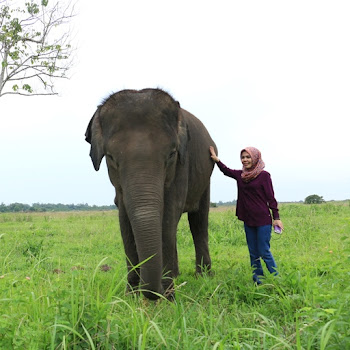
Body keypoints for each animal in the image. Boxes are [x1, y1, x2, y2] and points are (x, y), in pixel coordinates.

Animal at [85, 88, 216, 300]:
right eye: (111, 157)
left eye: (171, 154)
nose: (153, 293)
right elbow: (125, 219)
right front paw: (130, 295)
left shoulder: (182, 163)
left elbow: (169, 214)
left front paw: (168, 297)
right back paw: (177, 275)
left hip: (206, 178)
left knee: (198, 221)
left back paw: (203, 276)